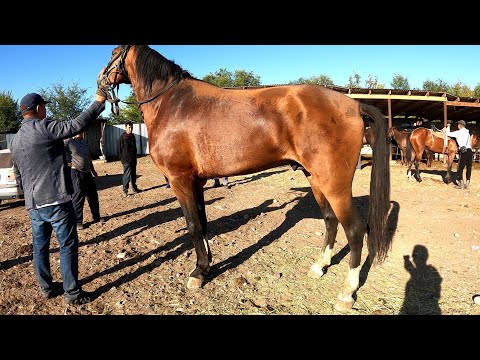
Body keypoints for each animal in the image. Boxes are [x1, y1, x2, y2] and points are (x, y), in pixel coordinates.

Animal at [98, 45, 394, 310]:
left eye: (113, 53)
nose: (100, 83)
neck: (173, 103)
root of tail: (353, 104)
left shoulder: (180, 180)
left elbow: (193, 226)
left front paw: (197, 274)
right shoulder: (197, 182)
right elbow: (203, 224)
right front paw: (206, 267)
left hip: (335, 184)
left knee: (355, 229)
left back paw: (347, 292)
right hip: (316, 179)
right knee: (330, 220)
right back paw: (320, 266)